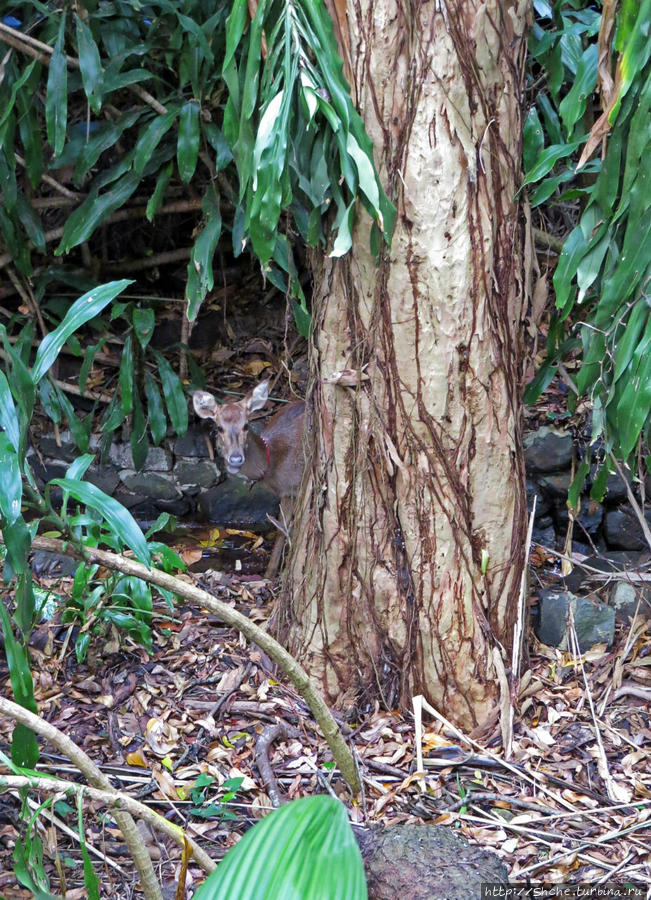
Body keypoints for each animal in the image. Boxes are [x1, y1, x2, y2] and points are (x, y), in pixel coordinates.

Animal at [192, 378, 306, 576]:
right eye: (219, 427)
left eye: (246, 425)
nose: (236, 458)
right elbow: (281, 530)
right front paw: (270, 573)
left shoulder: (293, 488)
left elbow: (285, 530)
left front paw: (272, 574)